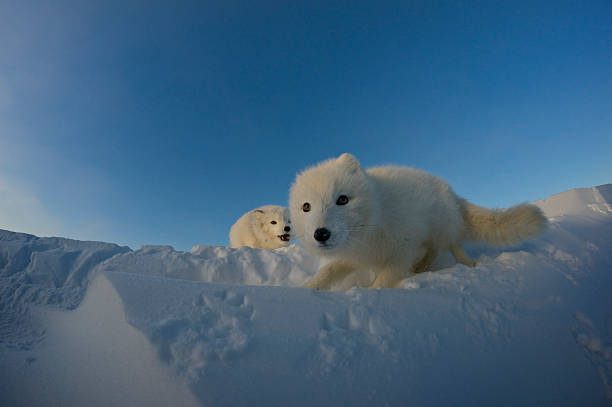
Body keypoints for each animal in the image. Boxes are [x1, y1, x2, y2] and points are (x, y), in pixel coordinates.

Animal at [290, 153, 548, 290]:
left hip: (442, 227)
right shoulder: (355, 255)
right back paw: (421, 267)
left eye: (342, 199)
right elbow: (328, 271)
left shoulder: (402, 247)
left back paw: (466, 263)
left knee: (452, 244)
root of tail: (451, 192)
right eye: (306, 207)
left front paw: (371, 294)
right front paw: (304, 291)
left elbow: (385, 277)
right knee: (433, 250)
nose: (321, 234)